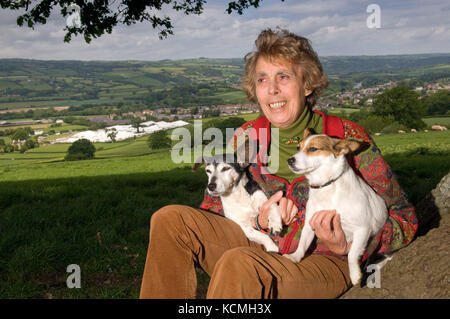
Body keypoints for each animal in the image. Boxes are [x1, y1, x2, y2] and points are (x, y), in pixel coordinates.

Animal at [284, 129, 386, 286]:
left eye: (313, 149)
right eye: (297, 147)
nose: (290, 160)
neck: (326, 186)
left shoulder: (362, 229)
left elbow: (352, 254)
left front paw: (355, 275)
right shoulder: (310, 225)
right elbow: (302, 244)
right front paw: (295, 257)